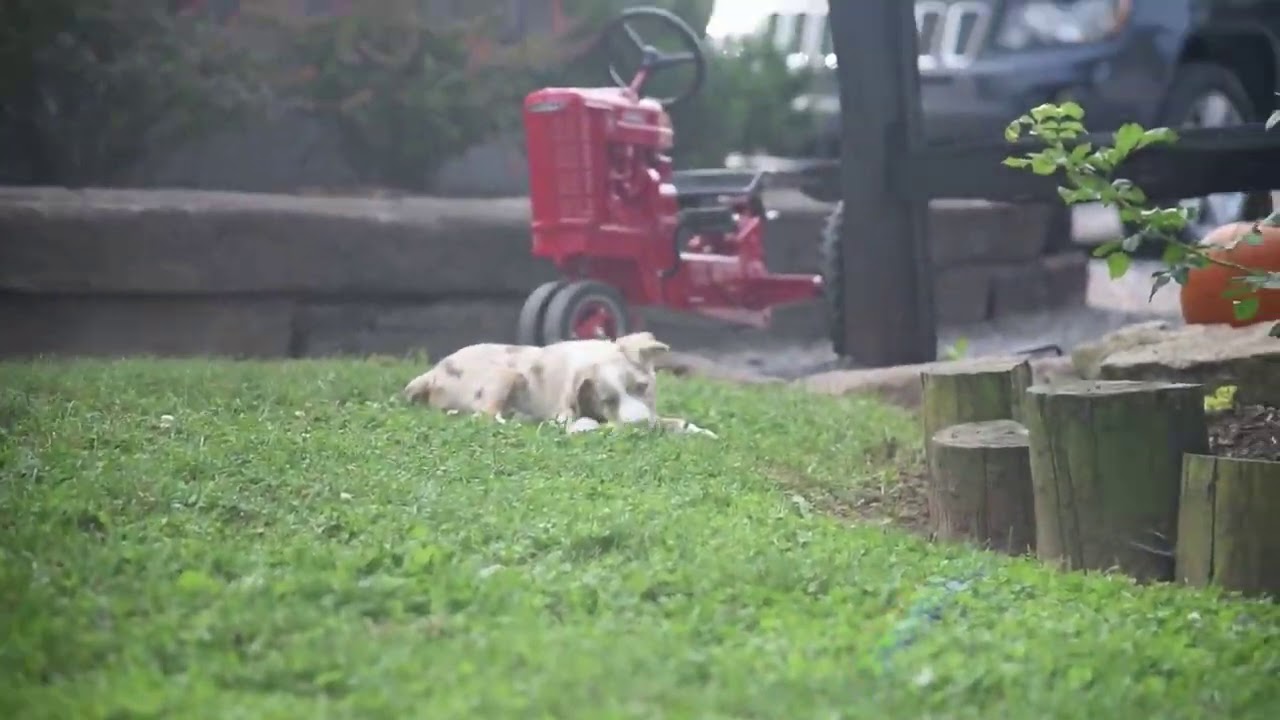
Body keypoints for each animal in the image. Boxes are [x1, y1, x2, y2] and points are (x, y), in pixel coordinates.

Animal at [401, 330, 716, 435]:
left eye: (642, 388)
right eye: (608, 400)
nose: (641, 429)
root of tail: (429, 374)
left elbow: (675, 421)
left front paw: (698, 431)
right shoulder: (565, 414)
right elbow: (584, 424)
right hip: (505, 375)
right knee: (484, 416)